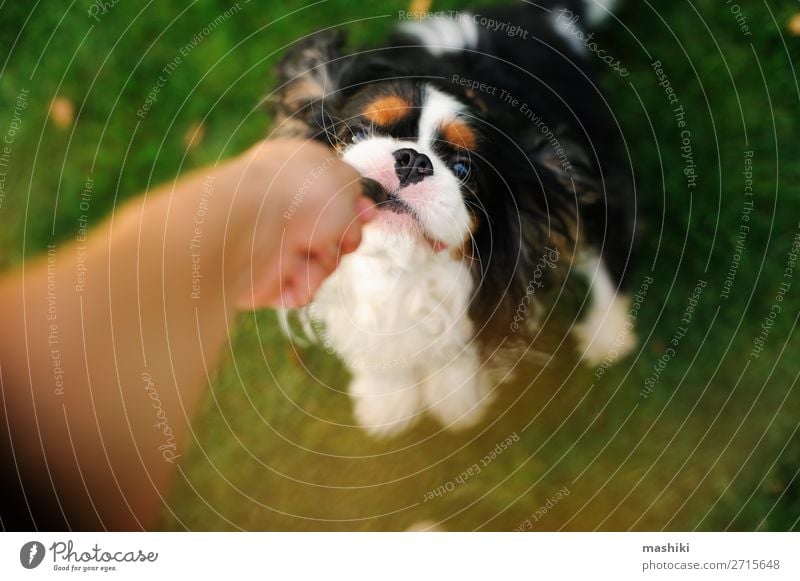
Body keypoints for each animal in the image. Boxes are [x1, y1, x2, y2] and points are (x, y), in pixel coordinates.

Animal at [272, 0, 636, 436]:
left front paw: (458, 402)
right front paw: (387, 405)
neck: (400, 273)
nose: (413, 160)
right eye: (357, 134)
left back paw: (608, 335)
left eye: (464, 170)